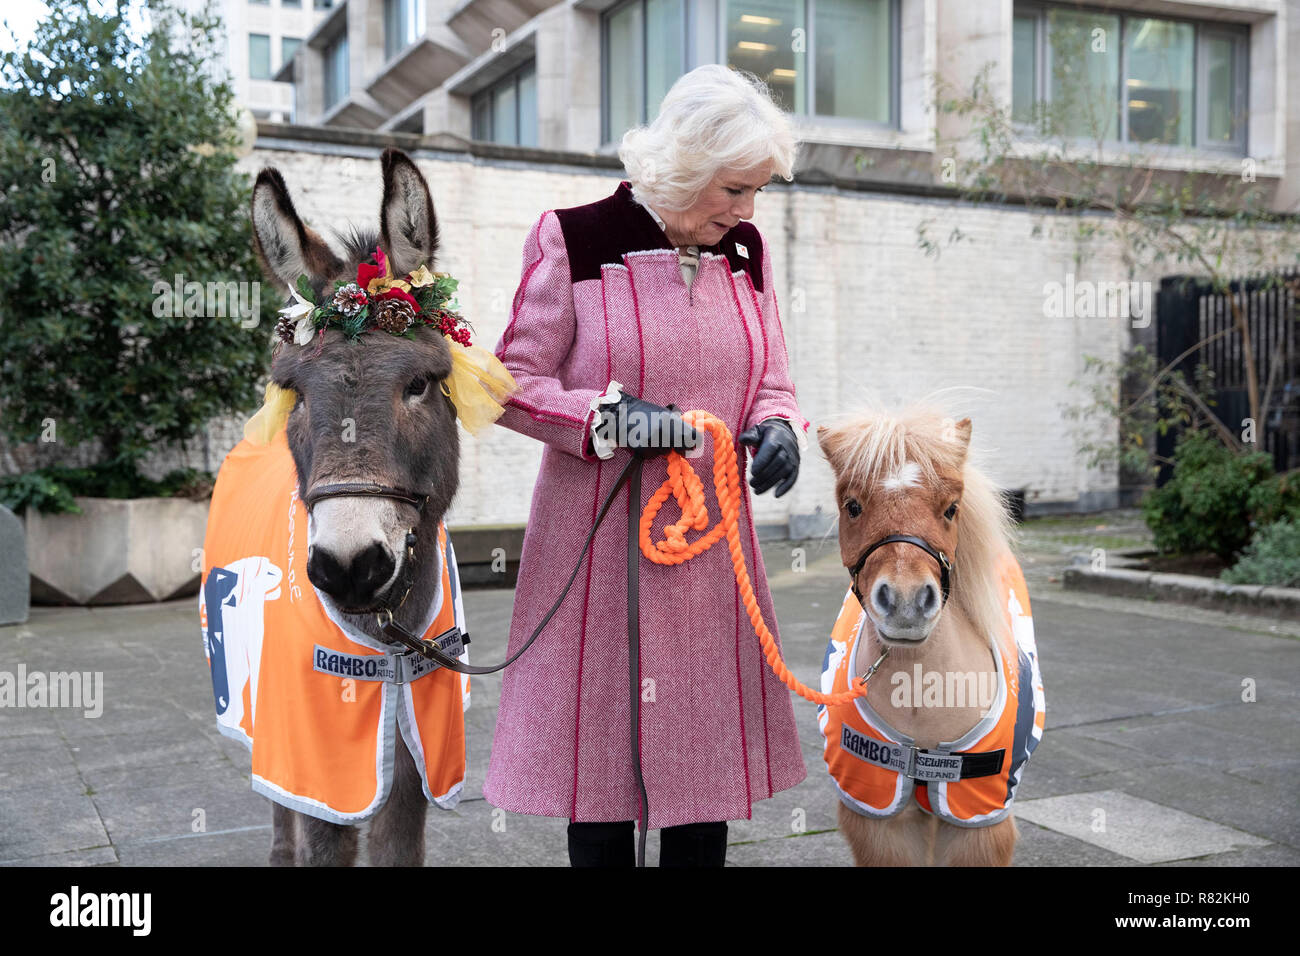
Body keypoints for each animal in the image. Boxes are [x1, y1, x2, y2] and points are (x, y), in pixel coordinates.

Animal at [200, 149, 465, 868]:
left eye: (420, 383)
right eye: (292, 389)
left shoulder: (414, 755)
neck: (388, 636)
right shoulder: (320, 766)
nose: (349, 568)